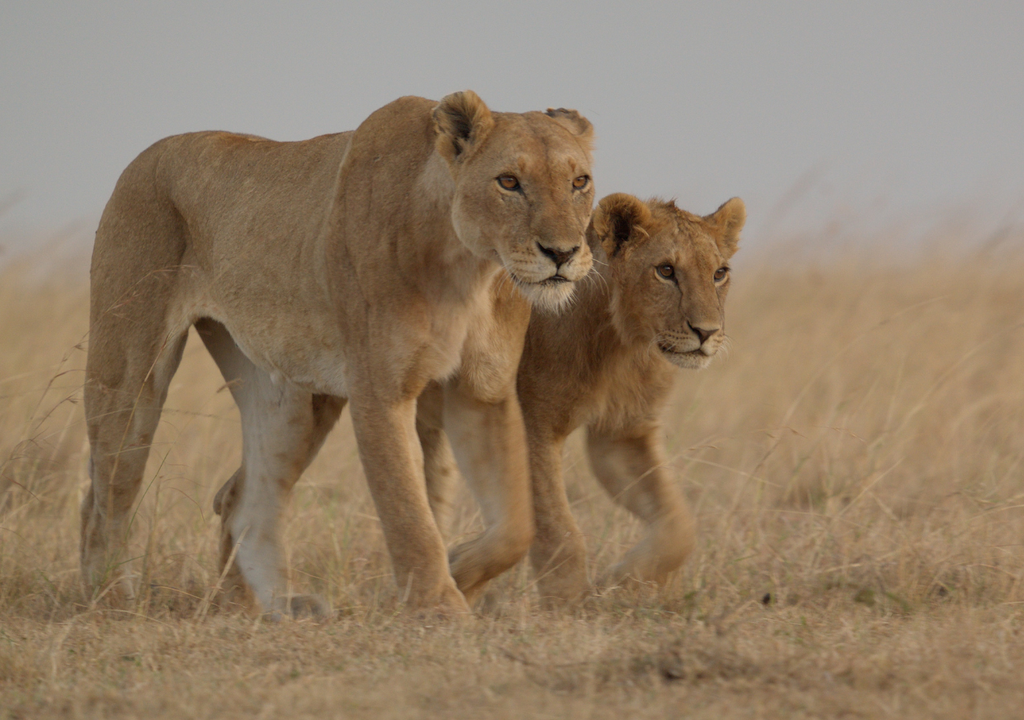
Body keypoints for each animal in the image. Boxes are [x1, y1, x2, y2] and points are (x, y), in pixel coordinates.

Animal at [81, 91, 595, 616]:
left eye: (579, 182)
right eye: (509, 182)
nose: (562, 253)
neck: (469, 269)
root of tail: (142, 158)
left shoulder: (482, 393)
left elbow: (515, 526)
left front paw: (461, 572)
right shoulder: (381, 391)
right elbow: (408, 512)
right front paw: (439, 607)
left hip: (288, 405)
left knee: (243, 500)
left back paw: (269, 610)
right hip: (129, 371)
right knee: (105, 496)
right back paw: (111, 598)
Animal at [420, 192, 744, 604]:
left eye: (719, 273)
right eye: (666, 271)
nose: (707, 332)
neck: (623, 344)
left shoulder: (623, 435)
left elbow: (679, 527)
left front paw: (621, 580)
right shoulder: (533, 424)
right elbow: (557, 529)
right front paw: (568, 604)